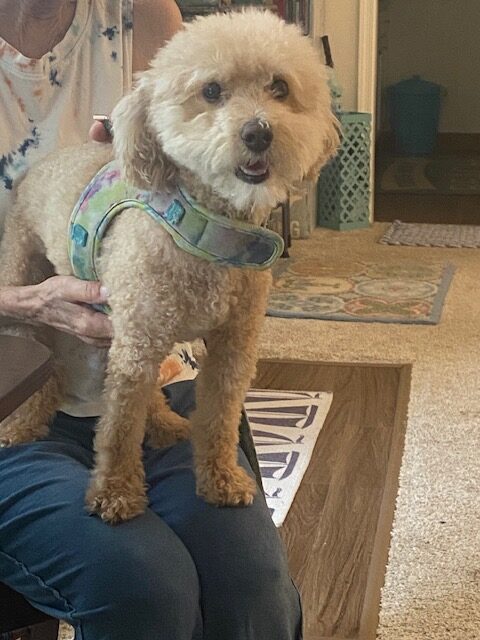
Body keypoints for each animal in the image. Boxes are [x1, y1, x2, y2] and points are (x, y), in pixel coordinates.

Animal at [0, 8, 340, 524]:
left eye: (279, 87)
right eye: (212, 91)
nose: (258, 133)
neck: (207, 231)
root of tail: (39, 168)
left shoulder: (231, 346)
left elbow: (218, 418)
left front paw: (220, 479)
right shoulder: (138, 341)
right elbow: (118, 428)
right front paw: (116, 492)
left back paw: (163, 424)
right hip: (29, 284)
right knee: (51, 362)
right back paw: (22, 424)